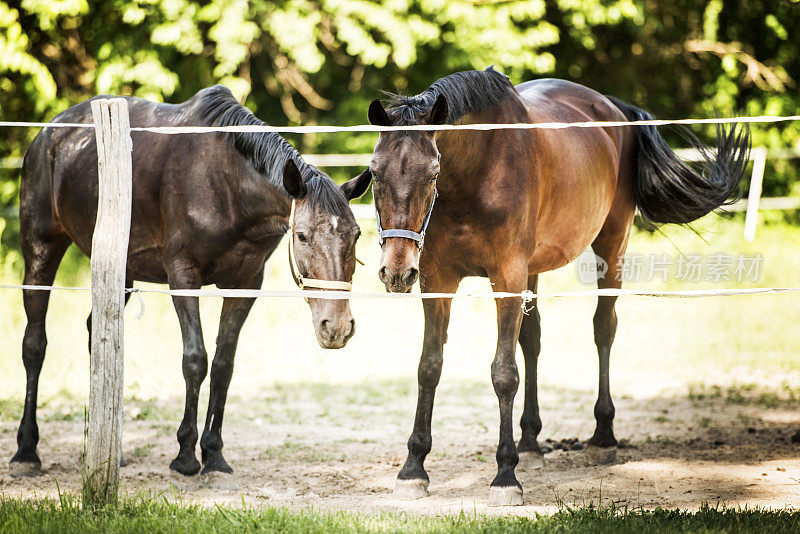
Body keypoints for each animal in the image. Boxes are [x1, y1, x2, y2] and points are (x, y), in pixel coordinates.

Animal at [10, 85, 370, 482]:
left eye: (356, 235)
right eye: (302, 236)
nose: (336, 328)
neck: (228, 185)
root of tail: (48, 133)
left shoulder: (246, 284)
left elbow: (224, 365)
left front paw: (214, 455)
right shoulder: (182, 276)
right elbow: (195, 360)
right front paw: (185, 455)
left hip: (119, 269)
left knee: (98, 334)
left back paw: (105, 447)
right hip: (40, 250)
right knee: (34, 346)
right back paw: (26, 452)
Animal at [352, 67, 752, 506]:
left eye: (433, 173)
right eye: (374, 173)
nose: (396, 271)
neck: (476, 174)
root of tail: (614, 108)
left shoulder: (506, 278)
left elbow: (503, 373)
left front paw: (505, 475)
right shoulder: (437, 280)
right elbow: (430, 367)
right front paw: (414, 468)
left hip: (611, 247)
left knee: (603, 329)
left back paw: (602, 437)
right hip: (533, 270)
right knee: (533, 339)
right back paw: (530, 442)